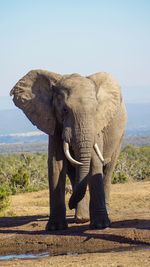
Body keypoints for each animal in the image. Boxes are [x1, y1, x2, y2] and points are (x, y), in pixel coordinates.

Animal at [10, 70, 126, 231]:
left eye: (95, 110)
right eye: (64, 110)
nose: (70, 204)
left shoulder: (97, 126)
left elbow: (94, 162)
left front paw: (100, 226)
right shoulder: (53, 122)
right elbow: (56, 164)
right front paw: (55, 228)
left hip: (119, 135)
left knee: (108, 170)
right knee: (73, 171)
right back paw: (81, 218)